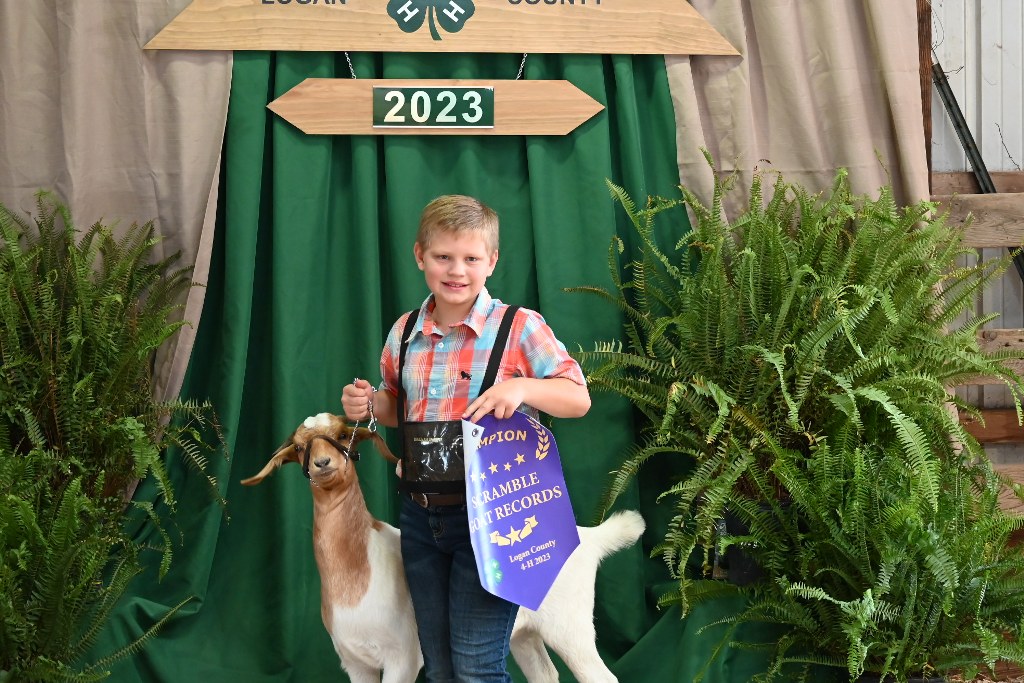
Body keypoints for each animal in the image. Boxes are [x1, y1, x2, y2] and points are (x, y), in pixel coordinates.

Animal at [242, 412, 645, 683]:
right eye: (299, 447)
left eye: (343, 435)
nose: (323, 463)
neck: (358, 572)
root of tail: (588, 538)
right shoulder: (355, 663)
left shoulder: (402, 658)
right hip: (524, 634)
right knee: (545, 674)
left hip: (571, 627)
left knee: (600, 676)